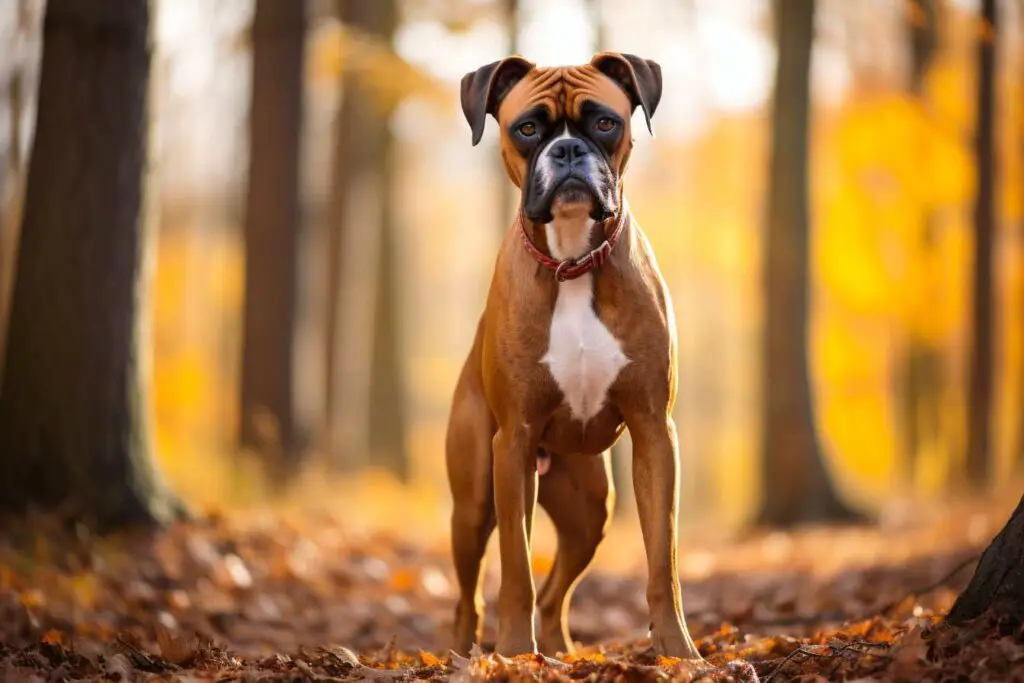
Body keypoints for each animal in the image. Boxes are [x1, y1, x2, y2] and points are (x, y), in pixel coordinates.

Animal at [448, 53, 704, 663]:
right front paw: (514, 654)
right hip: (474, 503)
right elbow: (515, 567)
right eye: (528, 129)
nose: (567, 150)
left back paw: (561, 649)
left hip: (591, 510)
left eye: (606, 123)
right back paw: (467, 653)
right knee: (471, 597)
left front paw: (678, 651)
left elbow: (663, 562)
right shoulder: (513, 443)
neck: (572, 264)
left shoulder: (654, 434)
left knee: (554, 591)